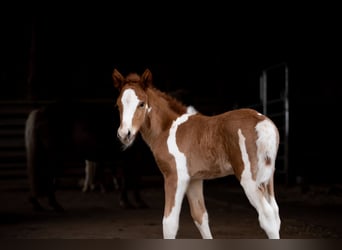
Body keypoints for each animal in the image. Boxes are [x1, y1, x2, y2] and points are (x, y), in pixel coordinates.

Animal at [112, 68, 280, 238]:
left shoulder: (175, 177)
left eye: (141, 104)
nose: (124, 134)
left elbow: (169, 223)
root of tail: (263, 123)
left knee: (267, 216)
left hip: (249, 179)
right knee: (275, 211)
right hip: (268, 177)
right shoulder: (194, 179)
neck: (168, 128)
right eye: (118, 105)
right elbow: (200, 216)